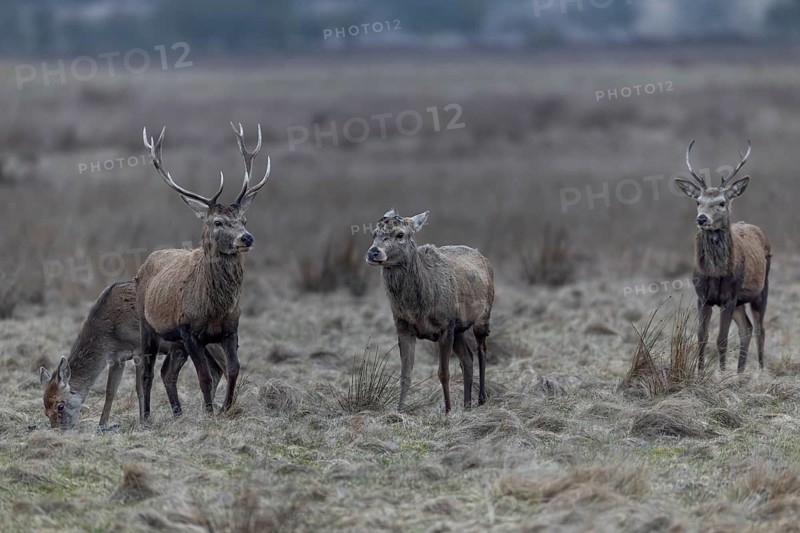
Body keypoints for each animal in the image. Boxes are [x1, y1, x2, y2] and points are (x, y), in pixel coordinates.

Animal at [39, 280, 226, 430]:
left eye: (60, 406)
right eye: (45, 409)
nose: (59, 430)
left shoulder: (140, 351)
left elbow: (139, 387)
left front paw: (143, 420)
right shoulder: (117, 359)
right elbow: (110, 391)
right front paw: (102, 425)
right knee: (216, 370)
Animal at [135, 123, 270, 421]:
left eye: (244, 219)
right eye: (218, 221)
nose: (247, 238)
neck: (214, 308)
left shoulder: (230, 330)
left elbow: (233, 369)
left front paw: (225, 408)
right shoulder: (190, 331)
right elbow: (205, 377)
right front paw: (209, 412)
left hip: (175, 340)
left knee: (167, 372)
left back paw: (177, 413)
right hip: (147, 325)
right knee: (146, 372)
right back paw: (146, 416)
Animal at [365, 209, 494, 413]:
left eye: (400, 234)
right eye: (374, 234)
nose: (373, 252)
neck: (419, 307)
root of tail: (484, 259)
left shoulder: (445, 325)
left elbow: (444, 373)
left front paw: (447, 411)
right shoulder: (403, 327)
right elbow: (405, 375)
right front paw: (399, 411)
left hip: (483, 316)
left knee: (481, 350)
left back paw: (481, 398)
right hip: (459, 329)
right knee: (467, 359)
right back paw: (466, 405)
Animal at [675, 140, 771, 373]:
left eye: (721, 202)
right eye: (698, 201)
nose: (701, 218)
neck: (716, 272)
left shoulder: (729, 296)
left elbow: (722, 339)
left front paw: (721, 372)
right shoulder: (702, 297)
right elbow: (702, 336)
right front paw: (700, 371)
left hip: (760, 290)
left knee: (759, 329)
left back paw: (760, 369)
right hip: (740, 302)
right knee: (746, 328)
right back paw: (740, 371)